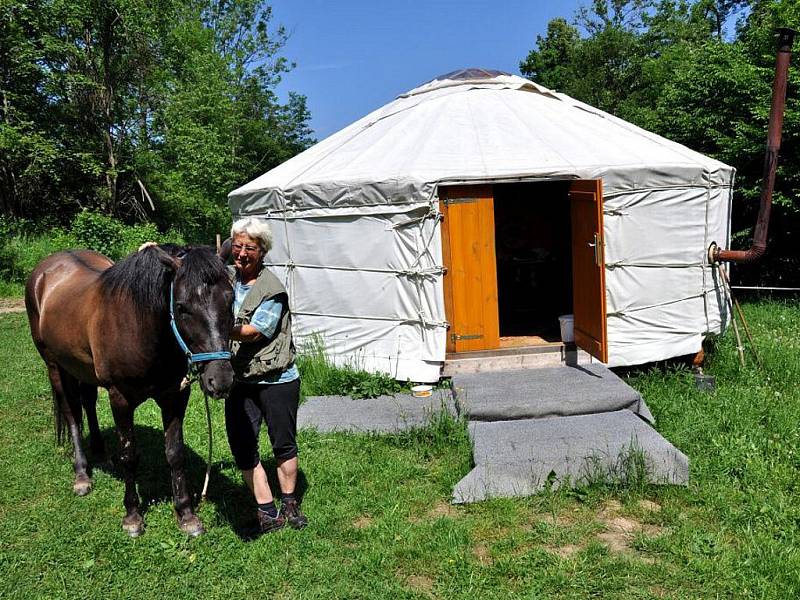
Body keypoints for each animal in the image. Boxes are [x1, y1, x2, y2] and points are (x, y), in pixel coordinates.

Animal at [24, 246, 234, 536]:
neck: (140, 328)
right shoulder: (120, 399)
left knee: (88, 403)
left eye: (231, 299)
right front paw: (133, 516)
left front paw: (186, 514)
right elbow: (129, 455)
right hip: (55, 367)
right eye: (181, 307)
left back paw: (100, 452)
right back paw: (81, 474)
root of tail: (44, 270)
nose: (221, 379)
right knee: (72, 415)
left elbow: (175, 454)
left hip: (83, 369)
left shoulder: (174, 397)